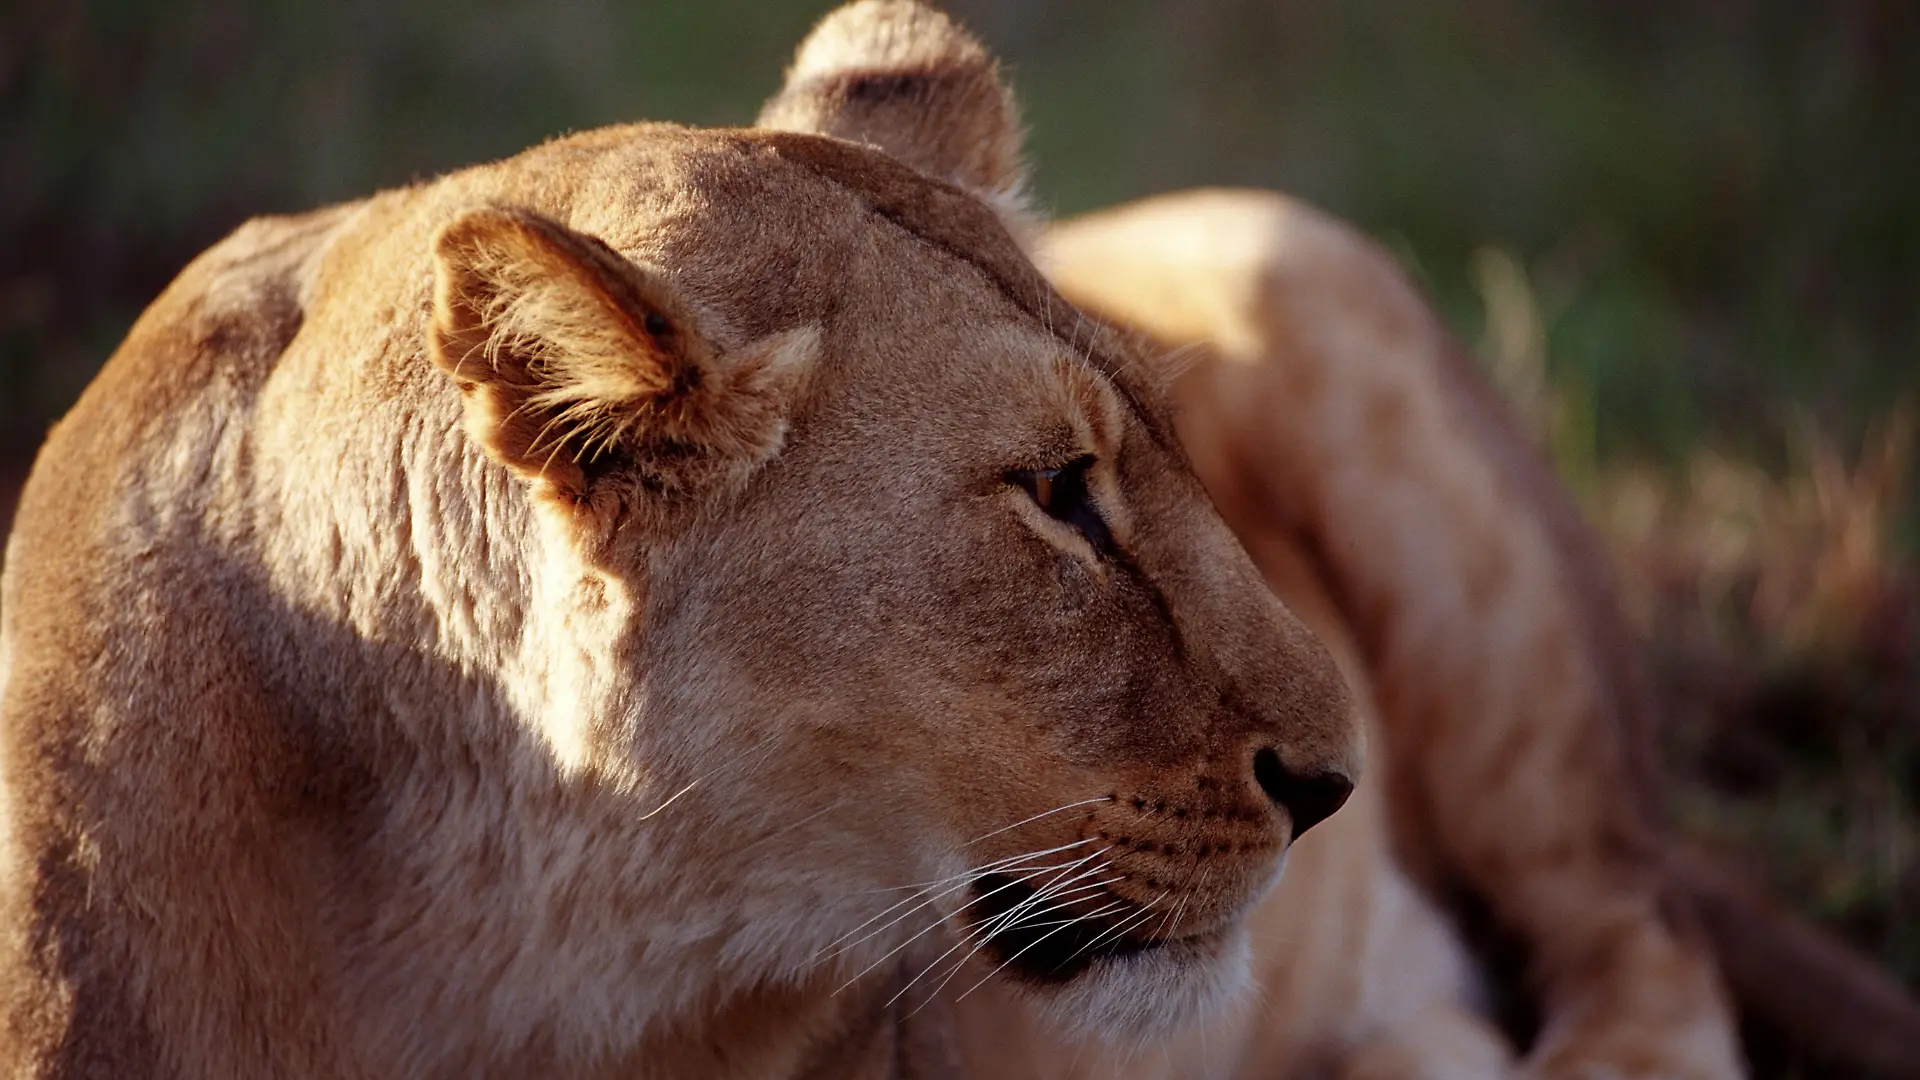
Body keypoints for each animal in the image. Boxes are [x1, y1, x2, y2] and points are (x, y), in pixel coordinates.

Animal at [5, 2, 1919, 1078]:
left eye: (1154, 455)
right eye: (1056, 495)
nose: (1336, 783)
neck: (488, 924)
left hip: (1303, 287)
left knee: (1644, 954)